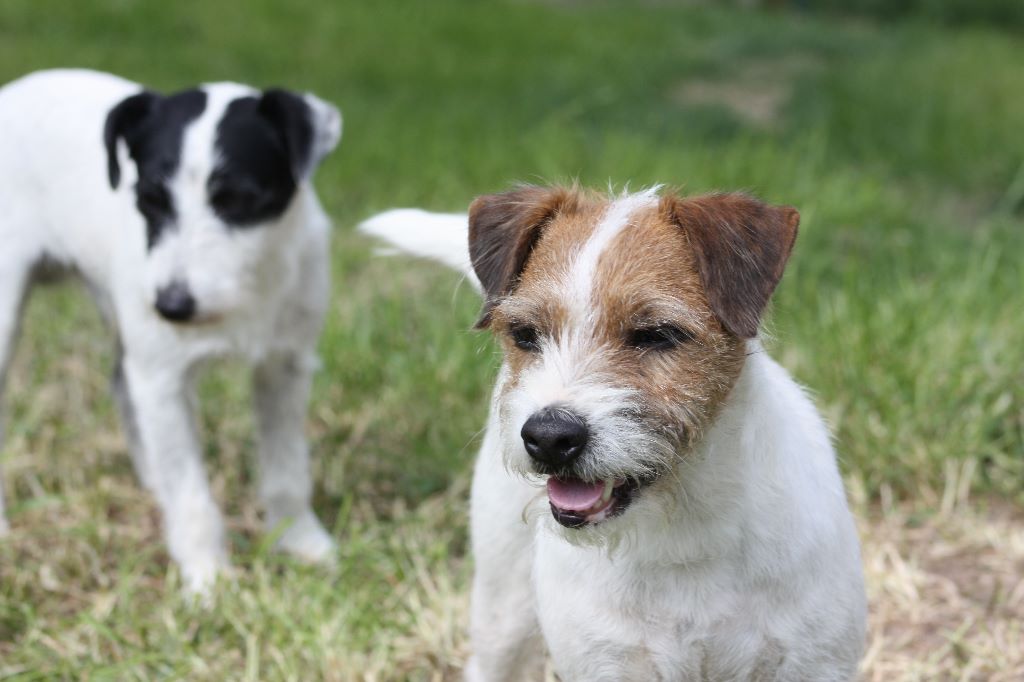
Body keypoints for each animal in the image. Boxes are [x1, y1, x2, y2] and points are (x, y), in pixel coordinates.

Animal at [0, 69, 344, 589]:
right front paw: (210, 578)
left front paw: (300, 540)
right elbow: (191, 496)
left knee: (122, 386)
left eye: (239, 201)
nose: (172, 305)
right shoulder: (162, 377)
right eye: (148, 201)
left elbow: (287, 471)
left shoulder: (285, 366)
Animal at [360, 183, 864, 675]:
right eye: (525, 335)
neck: (686, 528)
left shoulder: (814, 662)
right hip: (503, 611)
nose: (548, 437)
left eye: (657, 335)